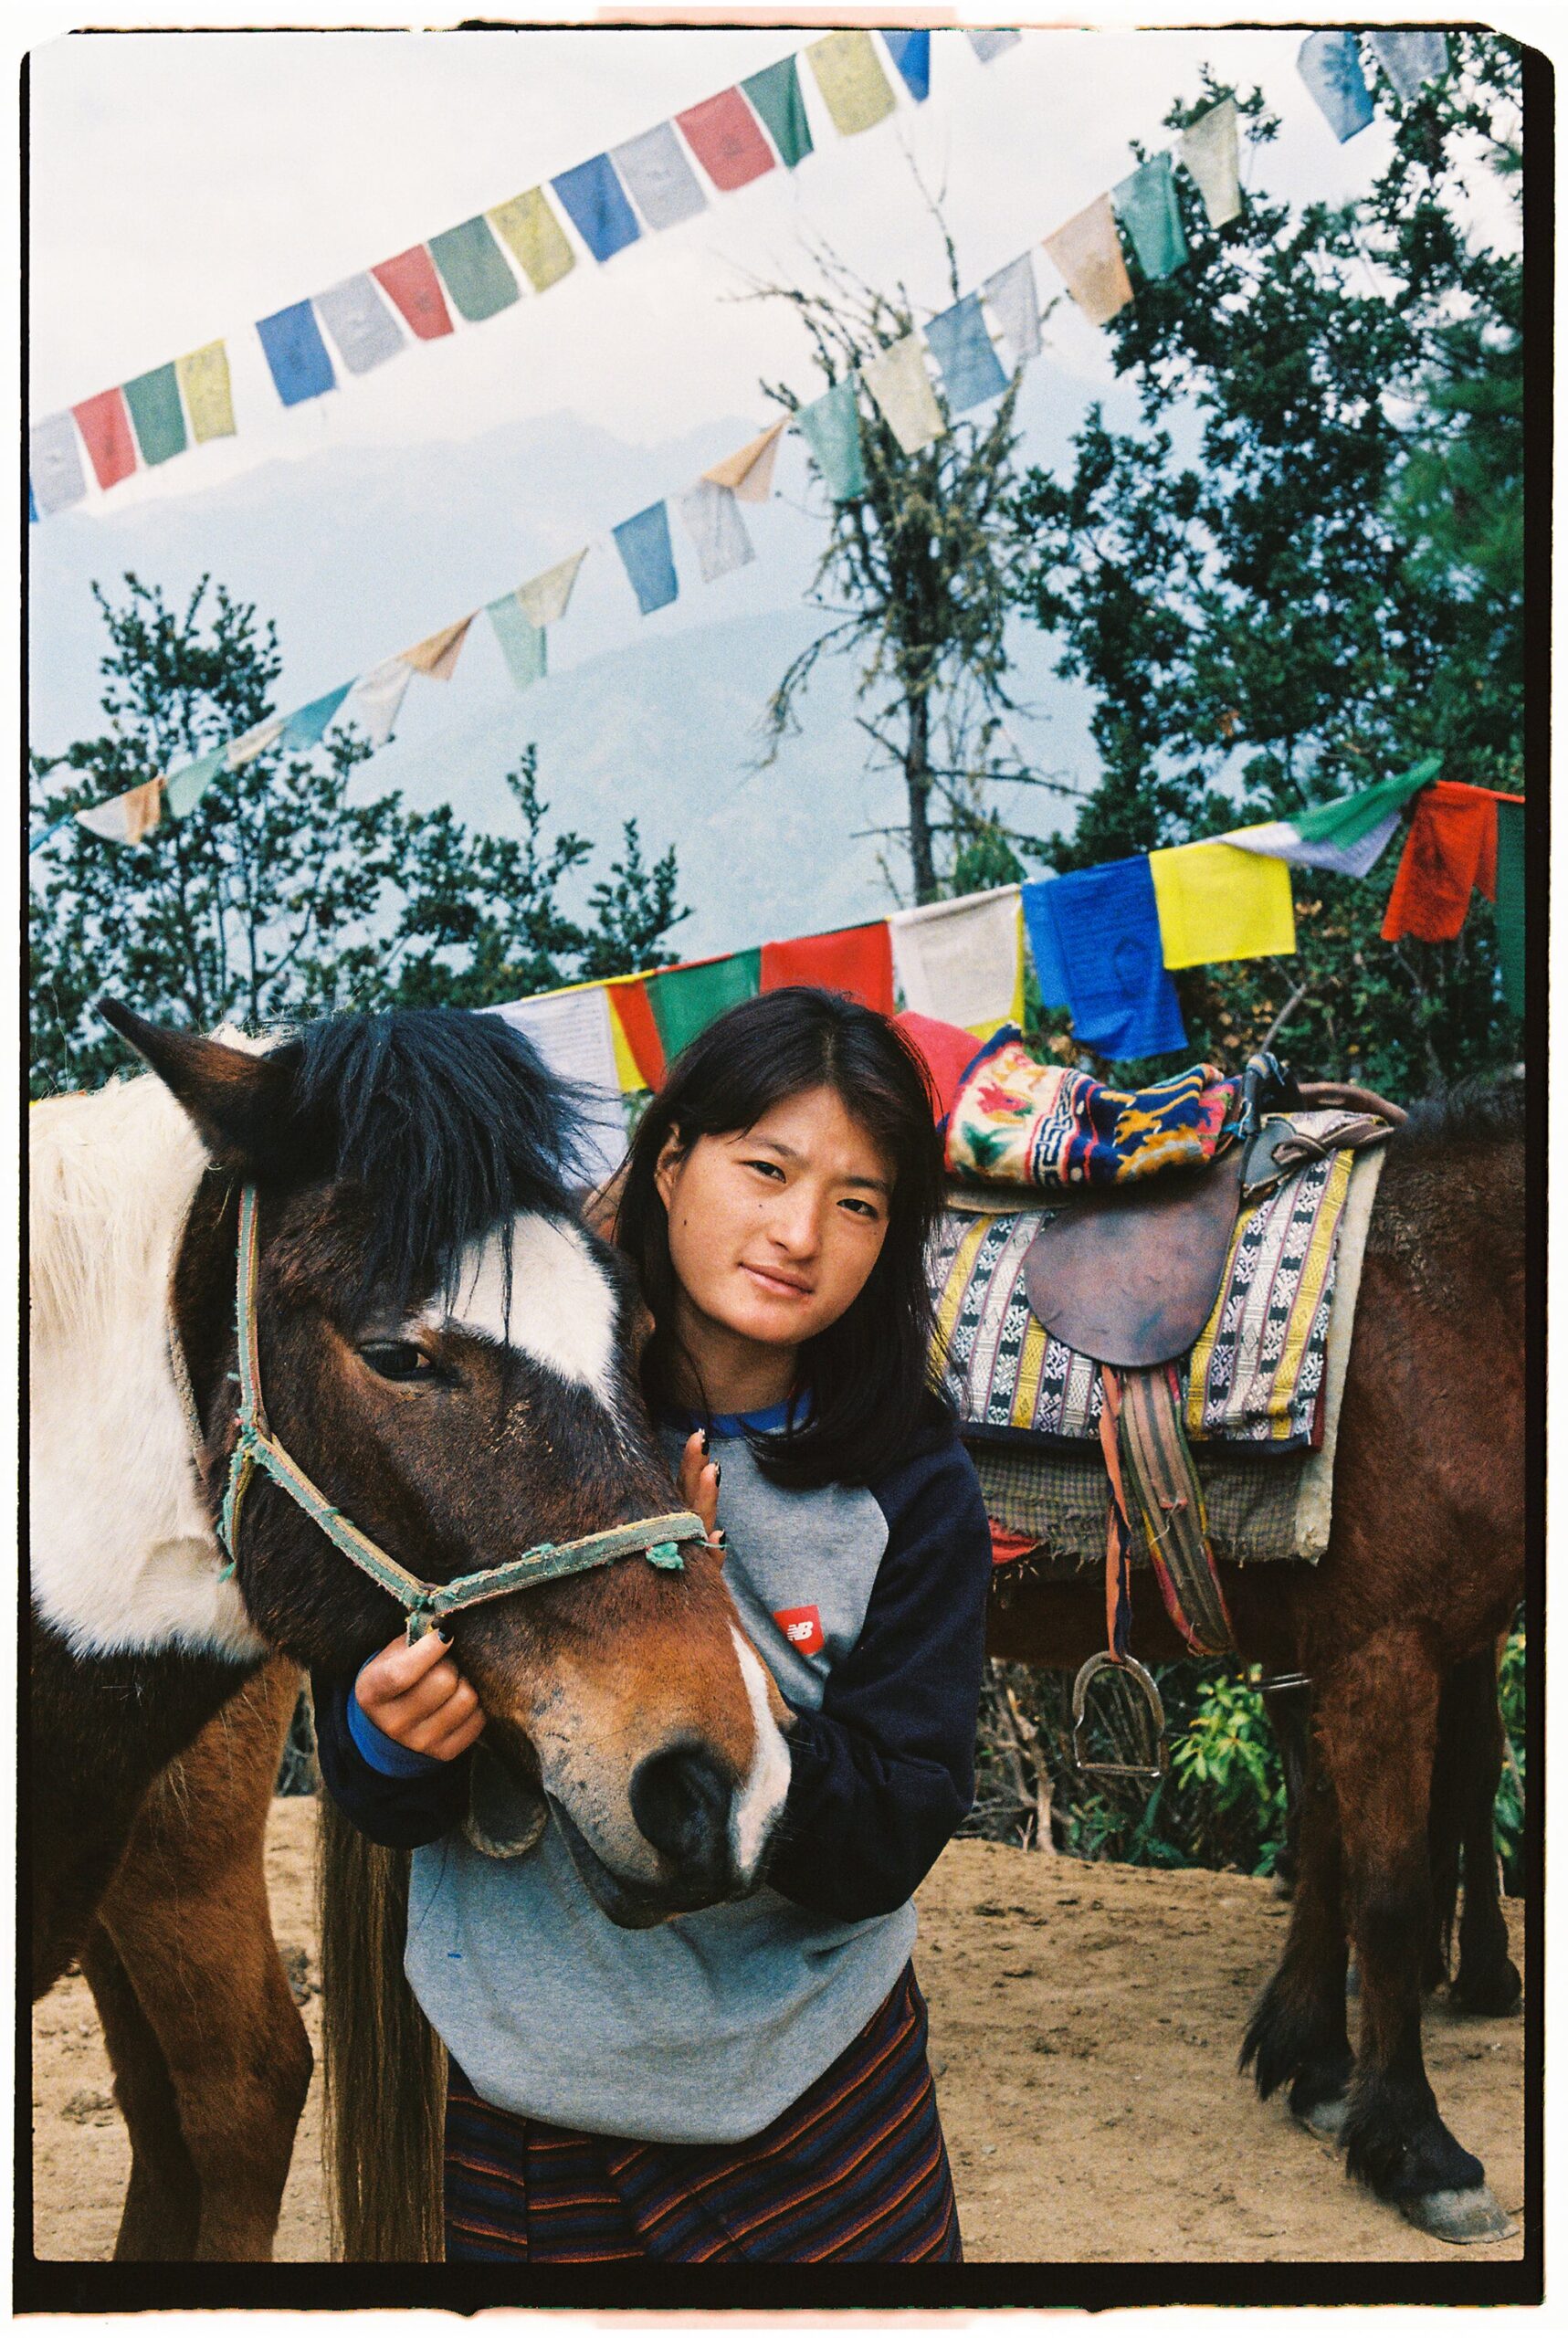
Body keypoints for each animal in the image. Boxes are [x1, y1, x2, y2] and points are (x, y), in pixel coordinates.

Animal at [982, 1077, 1529, 2244]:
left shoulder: (1350, 1643)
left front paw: (1313, 2065)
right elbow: (1387, 1889)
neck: (1453, 1304)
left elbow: (1325, 1840)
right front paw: (1415, 2148)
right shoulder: (1387, 1645)